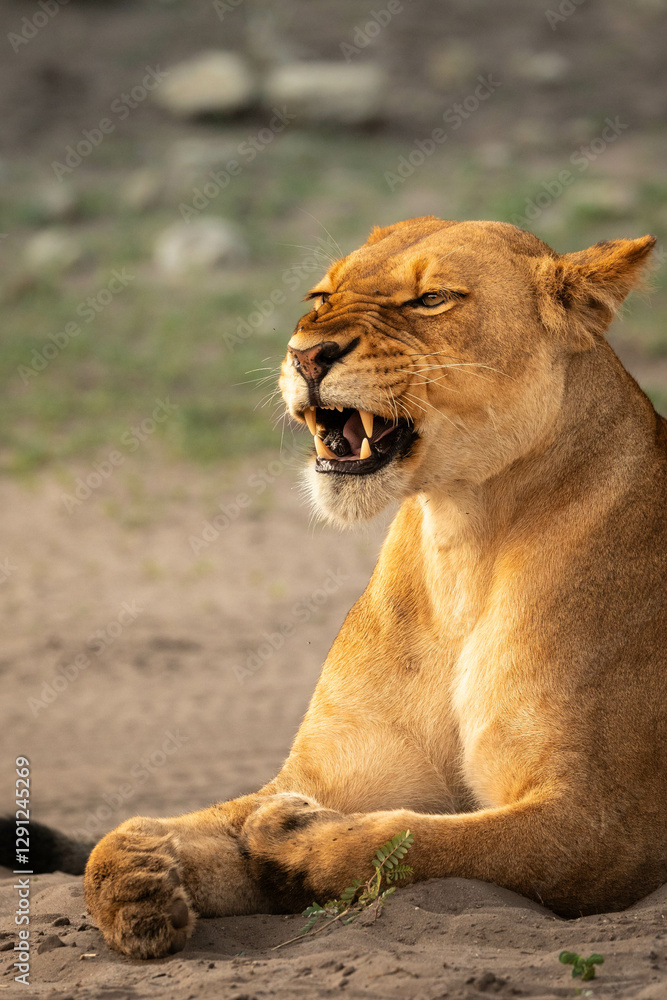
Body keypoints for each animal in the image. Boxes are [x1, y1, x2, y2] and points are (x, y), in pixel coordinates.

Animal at [65, 217, 667, 958]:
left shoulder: (604, 823)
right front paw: (141, 880)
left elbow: (416, 842)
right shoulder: (323, 773)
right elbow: (165, 832)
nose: (306, 356)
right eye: (320, 295)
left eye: (431, 299)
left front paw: (289, 834)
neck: (464, 538)